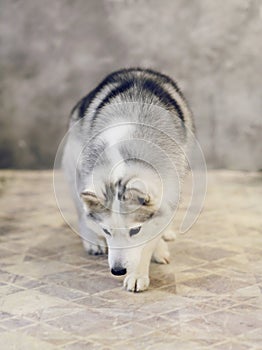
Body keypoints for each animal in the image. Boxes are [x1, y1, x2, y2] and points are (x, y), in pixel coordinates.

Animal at [63, 67, 194, 292]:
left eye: (135, 231)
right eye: (106, 230)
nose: (117, 271)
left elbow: (149, 240)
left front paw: (138, 272)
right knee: (81, 211)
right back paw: (91, 240)